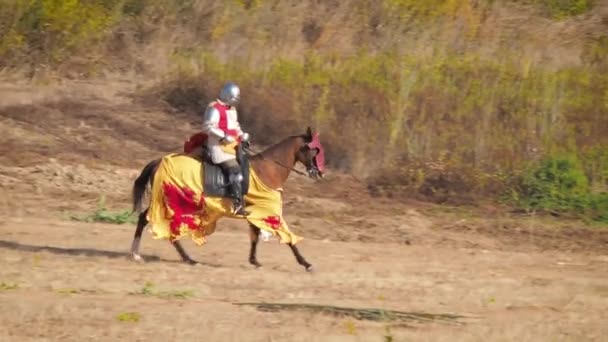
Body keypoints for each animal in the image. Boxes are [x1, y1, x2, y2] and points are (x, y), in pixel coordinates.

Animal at [128, 126, 326, 272]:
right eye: (314, 151)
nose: (318, 173)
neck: (268, 169)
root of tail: (159, 162)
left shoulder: (256, 212)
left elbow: (255, 236)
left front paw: (254, 261)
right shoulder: (269, 213)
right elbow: (287, 236)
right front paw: (306, 263)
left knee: (147, 220)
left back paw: (142, 254)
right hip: (175, 204)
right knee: (159, 224)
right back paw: (181, 258)